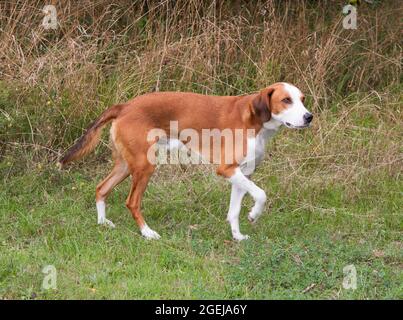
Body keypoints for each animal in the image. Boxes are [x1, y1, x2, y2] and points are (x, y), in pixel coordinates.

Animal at [59, 82, 312, 240]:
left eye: (302, 99)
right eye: (286, 100)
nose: (309, 117)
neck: (254, 120)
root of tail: (124, 106)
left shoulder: (242, 174)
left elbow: (234, 210)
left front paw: (237, 236)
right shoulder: (227, 170)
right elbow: (261, 194)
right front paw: (255, 214)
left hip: (126, 165)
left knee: (101, 188)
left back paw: (103, 222)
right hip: (144, 167)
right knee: (131, 202)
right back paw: (147, 233)